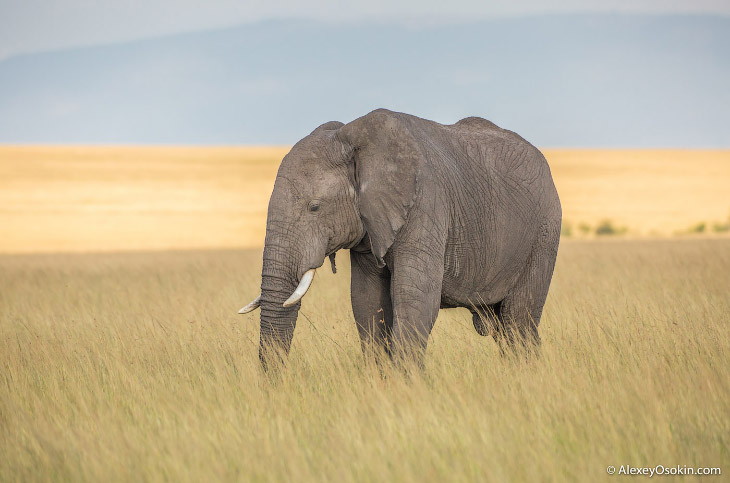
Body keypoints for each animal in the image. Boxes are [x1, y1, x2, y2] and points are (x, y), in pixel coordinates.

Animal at [239, 108, 556, 366]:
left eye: (315, 207)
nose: (275, 386)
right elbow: (366, 302)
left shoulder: (426, 204)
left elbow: (415, 300)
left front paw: (409, 385)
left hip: (543, 233)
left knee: (518, 321)